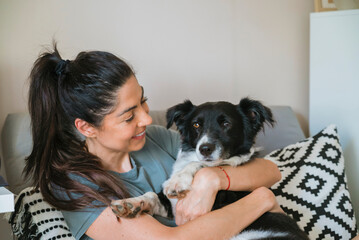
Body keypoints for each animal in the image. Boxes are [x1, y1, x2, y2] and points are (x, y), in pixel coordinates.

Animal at [112, 98, 310, 240]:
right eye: (196, 125)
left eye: (226, 124)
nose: (205, 149)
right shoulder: (174, 208)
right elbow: (152, 195)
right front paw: (131, 204)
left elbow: (201, 164)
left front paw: (178, 180)